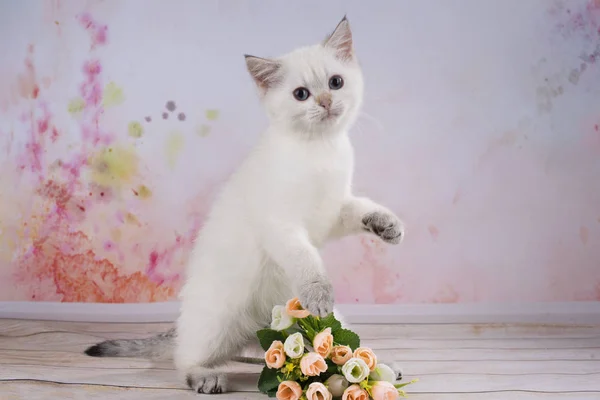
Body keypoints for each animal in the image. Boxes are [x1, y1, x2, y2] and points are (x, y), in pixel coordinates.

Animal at [84, 16, 404, 394]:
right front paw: (319, 293)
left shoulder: (332, 213)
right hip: (219, 319)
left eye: (335, 83)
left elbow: (360, 209)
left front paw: (388, 226)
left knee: (335, 350)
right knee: (185, 357)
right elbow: (308, 263)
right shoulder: (283, 225)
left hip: (324, 326)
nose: (326, 101)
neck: (321, 149)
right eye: (301, 94)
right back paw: (206, 376)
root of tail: (261, 329)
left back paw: (380, 367)